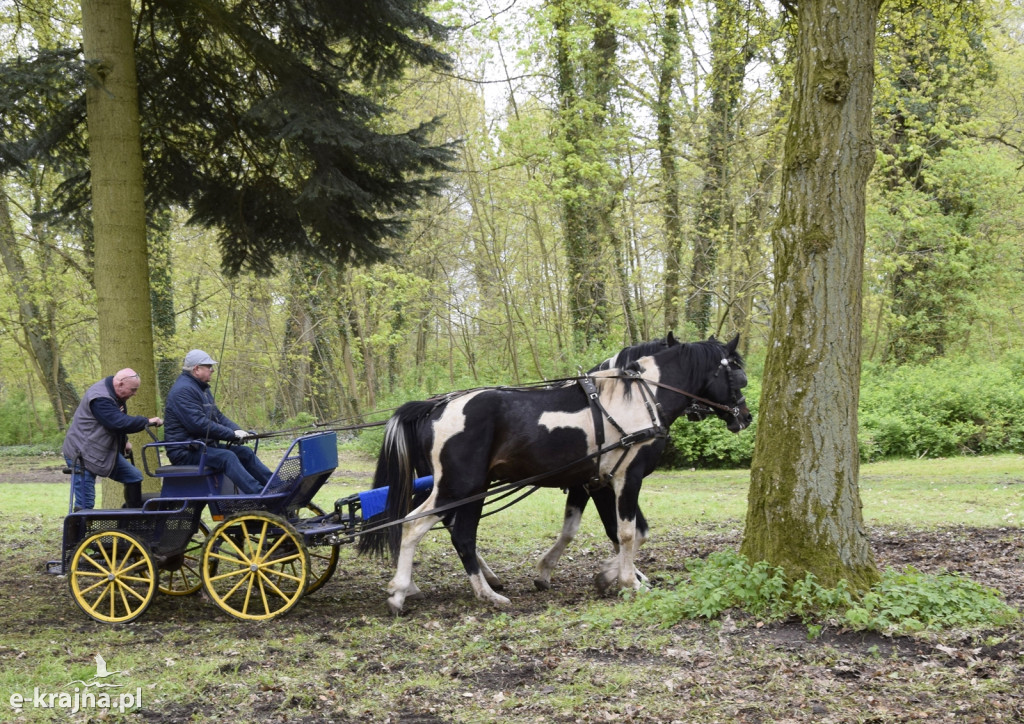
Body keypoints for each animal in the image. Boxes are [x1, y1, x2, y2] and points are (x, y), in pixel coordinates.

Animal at [356, 333, 749, 610]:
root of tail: (437, 407)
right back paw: (416, 592)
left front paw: (603, 575)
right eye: (739, 376)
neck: (637, 399)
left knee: (452, 531)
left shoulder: (593, 482)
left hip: (466, 488)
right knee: (424, 527)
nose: (744, 417)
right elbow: (625, 532)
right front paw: (628, 580)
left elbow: (618, 531)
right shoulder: (624, 478)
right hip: (459, 486)